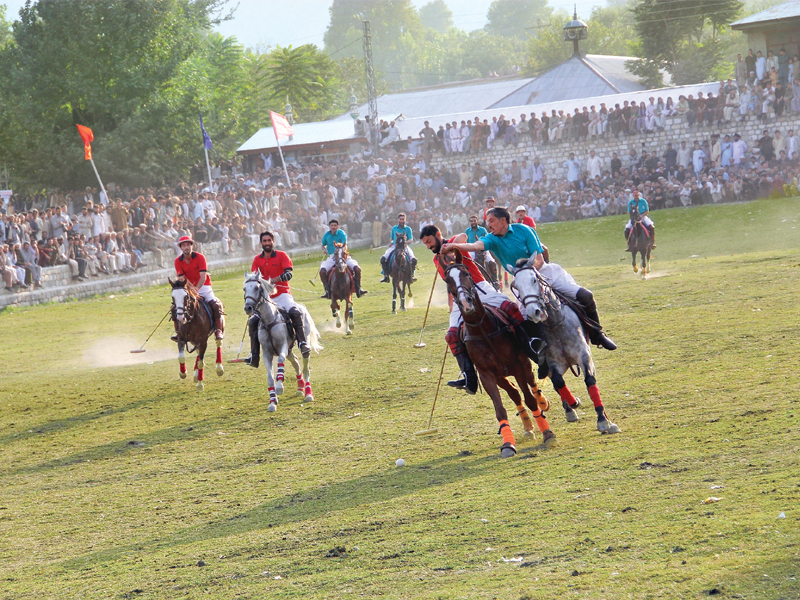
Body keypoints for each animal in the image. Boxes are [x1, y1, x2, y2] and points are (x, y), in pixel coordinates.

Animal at [241, 272, 322, 412]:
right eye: (244, 289)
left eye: (257, 288)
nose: (248, 308)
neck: (269, 320)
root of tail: (302, 307)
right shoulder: (267, 352)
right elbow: (269, 377)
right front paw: (272, 402)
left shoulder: (283, 346)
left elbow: (280, 362)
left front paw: (279, 387)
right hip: (289, 350)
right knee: (296, 362)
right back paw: (300, 388)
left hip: (301, 342)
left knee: (305, 367)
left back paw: (308, 394)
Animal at [440, 251, 552, 458]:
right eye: (447, 280)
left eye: (466, 273)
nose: (466, 302)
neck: (483, 330)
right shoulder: (487, 375)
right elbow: (500, 410)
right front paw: (508, 445)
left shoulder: (518, 366)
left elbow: (530, 399)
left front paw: (548, 434)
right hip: (501, 375)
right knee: (514, 393)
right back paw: (528, 427)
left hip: (524, 364)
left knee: (532, 385)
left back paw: (543, 403)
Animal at [510, 256, 620, 432]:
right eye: (516, 287)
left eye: (534, 280)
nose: (534, 312)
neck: (555, 324)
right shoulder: (554, 362)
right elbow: (558, 381)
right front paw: (573, 404)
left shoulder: (584, 355)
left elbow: (590, 380)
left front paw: (603, 419)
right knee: (554, 381)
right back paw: (569, 408)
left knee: (585, 295)